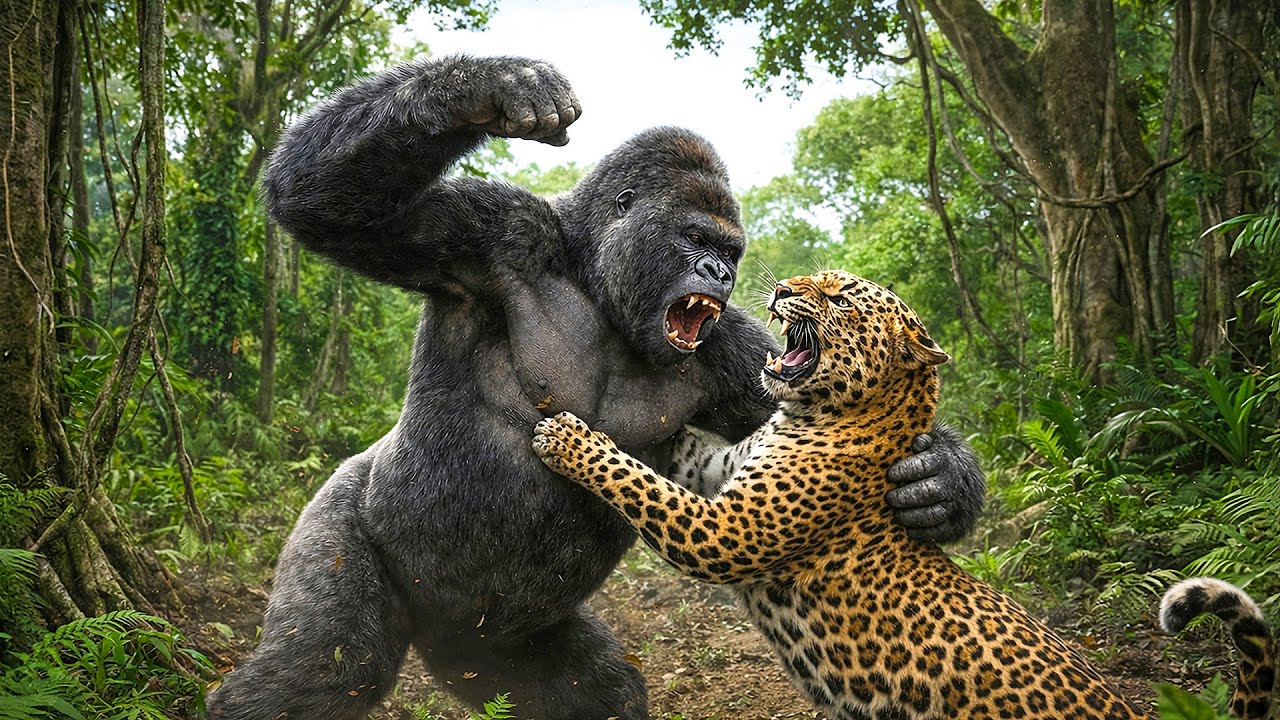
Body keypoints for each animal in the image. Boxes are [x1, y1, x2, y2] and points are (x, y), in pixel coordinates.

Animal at [532, 269, 1277, 720]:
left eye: (840, 299)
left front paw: (565, 435)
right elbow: (670, 447)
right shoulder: (719, 472)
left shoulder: (729, 531)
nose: (780, 285)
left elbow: (638, 482)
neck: (821, 414)